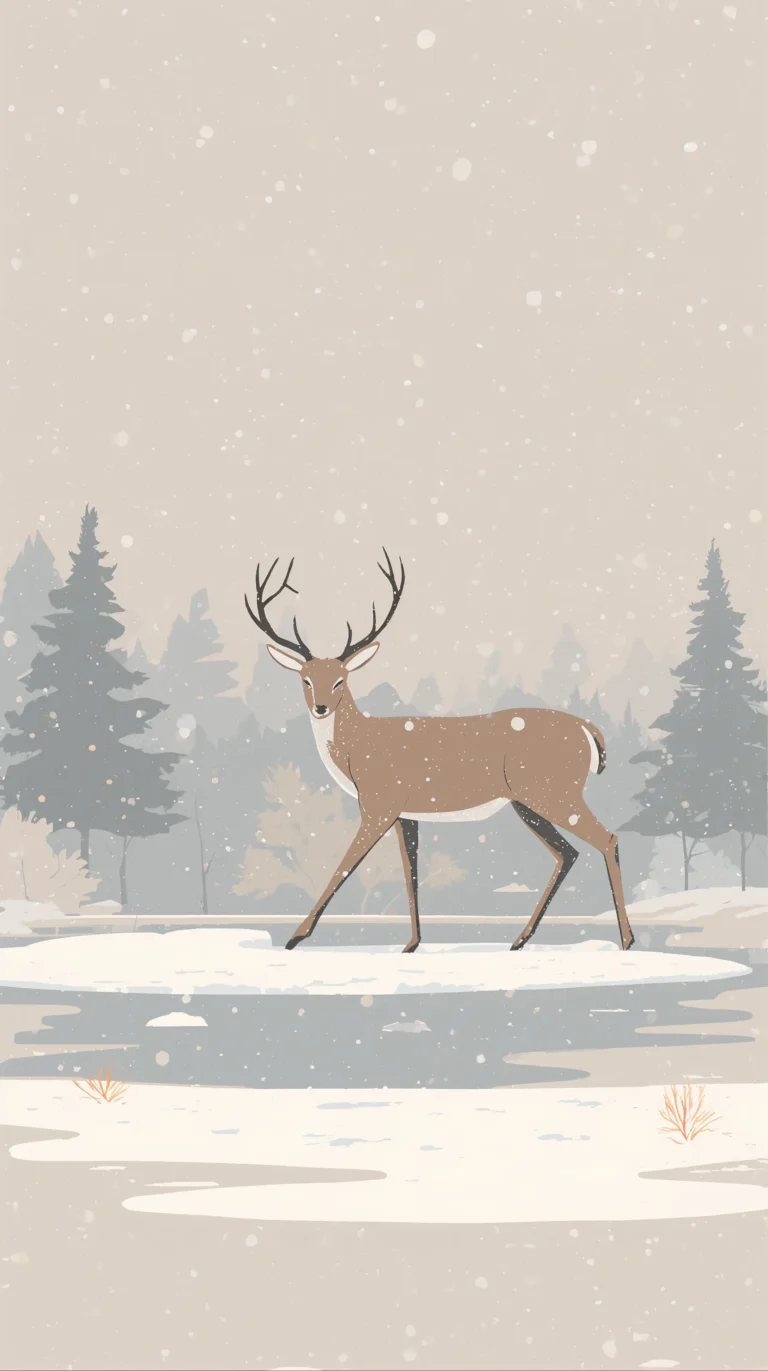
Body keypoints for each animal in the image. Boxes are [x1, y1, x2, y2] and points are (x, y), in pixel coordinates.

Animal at [244, 551, 635, 955]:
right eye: (305, 679)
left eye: (340, 680)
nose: (321, 708)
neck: (357, 751)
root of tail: (590, 732)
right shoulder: (406, 814)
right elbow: (410, 872)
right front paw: (413, 943)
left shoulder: (380, 803)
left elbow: (345, 865)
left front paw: (295, 936)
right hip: (527, 802)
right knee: (568, 852)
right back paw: (519, 940)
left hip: (554, 792)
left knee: (607, 839)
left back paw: (627, 941)